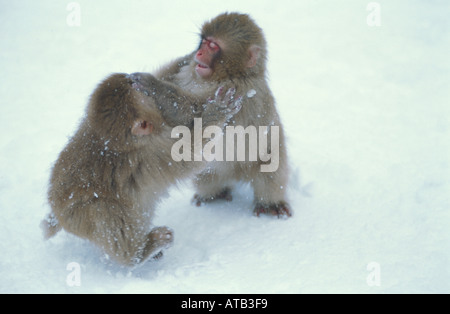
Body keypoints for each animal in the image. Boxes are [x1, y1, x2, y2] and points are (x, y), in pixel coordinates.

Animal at [40, 72, 241, 266]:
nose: (131, 78)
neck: (121, 143)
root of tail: (56, 212)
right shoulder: (155, 153)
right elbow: (190, 155)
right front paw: (217, 111)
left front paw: (152, 84)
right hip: (78, 214)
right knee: (104, 212)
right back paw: (140, 254)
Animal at [156, 12, 292, 218]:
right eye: (203, 42)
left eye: (213, 46)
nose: (198, 54)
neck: (232, 74)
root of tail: (237, 173)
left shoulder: (239, 92)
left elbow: (196, 119)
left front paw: (149, 85)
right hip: (212, 172)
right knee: (206, 177)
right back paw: (213, 195)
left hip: (266, 156)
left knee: (271, 175)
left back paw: (270, 203)